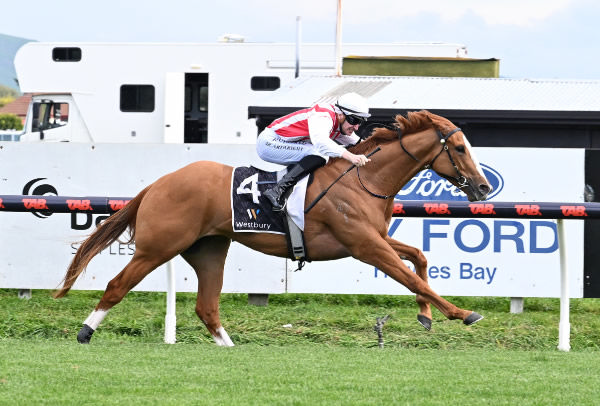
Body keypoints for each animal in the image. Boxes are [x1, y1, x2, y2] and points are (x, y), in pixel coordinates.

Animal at [54, 110, 492, 346]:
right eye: (459, 148)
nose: (484, 188)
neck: (362, 178)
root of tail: (159, 183)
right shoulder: (365, 244)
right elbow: (412, 277)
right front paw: (461, 313)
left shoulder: (375, 239)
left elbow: (419, 258)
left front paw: (426, 316)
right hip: (157, 247)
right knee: (117, 285)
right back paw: (85, 333)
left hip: (209, 249)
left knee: (206, 306)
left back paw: (230, 347)